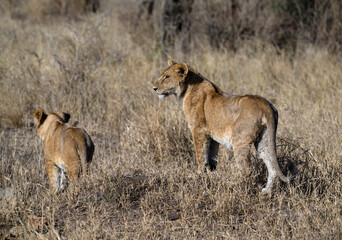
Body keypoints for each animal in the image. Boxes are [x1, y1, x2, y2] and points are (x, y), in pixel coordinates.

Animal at [153, 60, 296, 193]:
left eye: (166, 77)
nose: (154, 88)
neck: (188, 88)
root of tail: (266, 105)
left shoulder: (198, 130)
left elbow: (200, 156)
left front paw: (197, 176)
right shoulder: (212, 135)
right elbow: (211, 158)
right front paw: (209, 175)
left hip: (239, 138)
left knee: (246, 169)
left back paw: (233, 186)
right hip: (264, 140)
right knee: (272, 167)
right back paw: (266, 192)